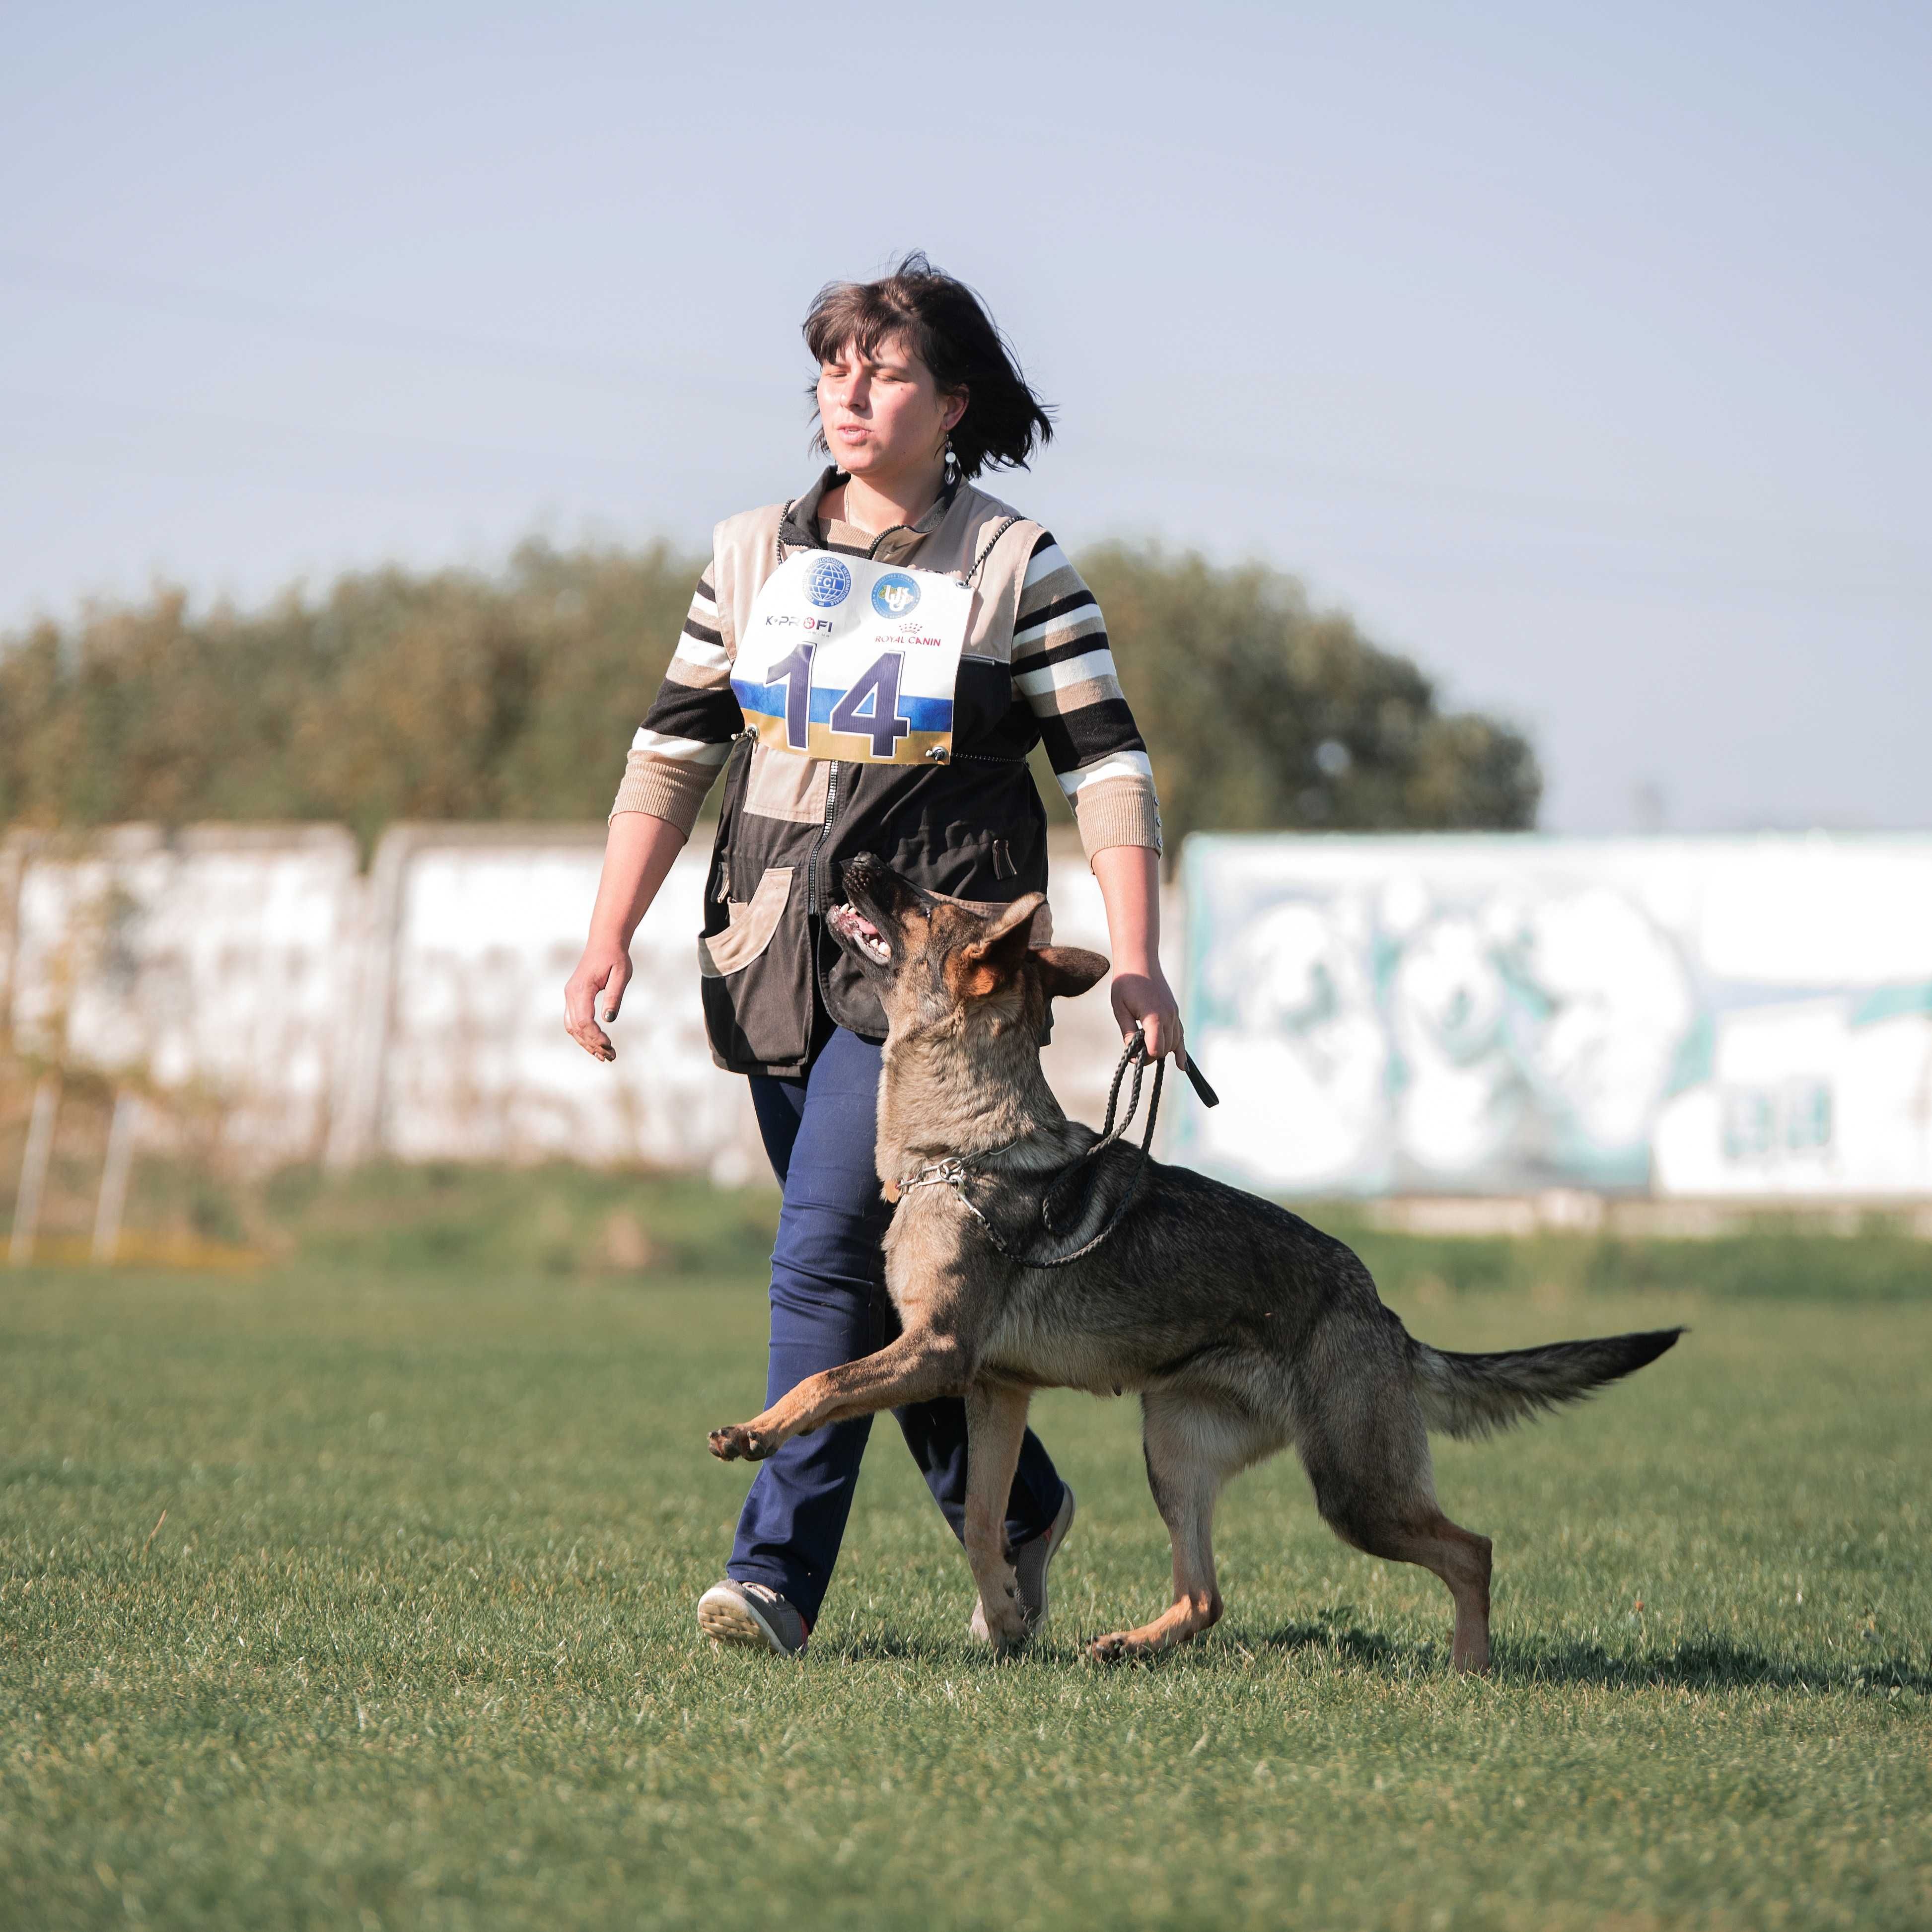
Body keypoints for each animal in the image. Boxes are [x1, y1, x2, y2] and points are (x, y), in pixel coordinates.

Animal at [711, 854, 1677, 1669]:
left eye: (920, 901)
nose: (856, 856)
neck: (960, 1146)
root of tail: (1378, 1309)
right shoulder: (992, 1389)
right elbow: (984, 1522)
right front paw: (1010, 1618)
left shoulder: (938, 1355)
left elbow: (824, 1381)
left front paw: (755, 1430)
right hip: (1172, 1451)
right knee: (1207, 1596)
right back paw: (1130, 1644)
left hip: (1351, 1491)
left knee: (1471, 1549)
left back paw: (1468, 1664)